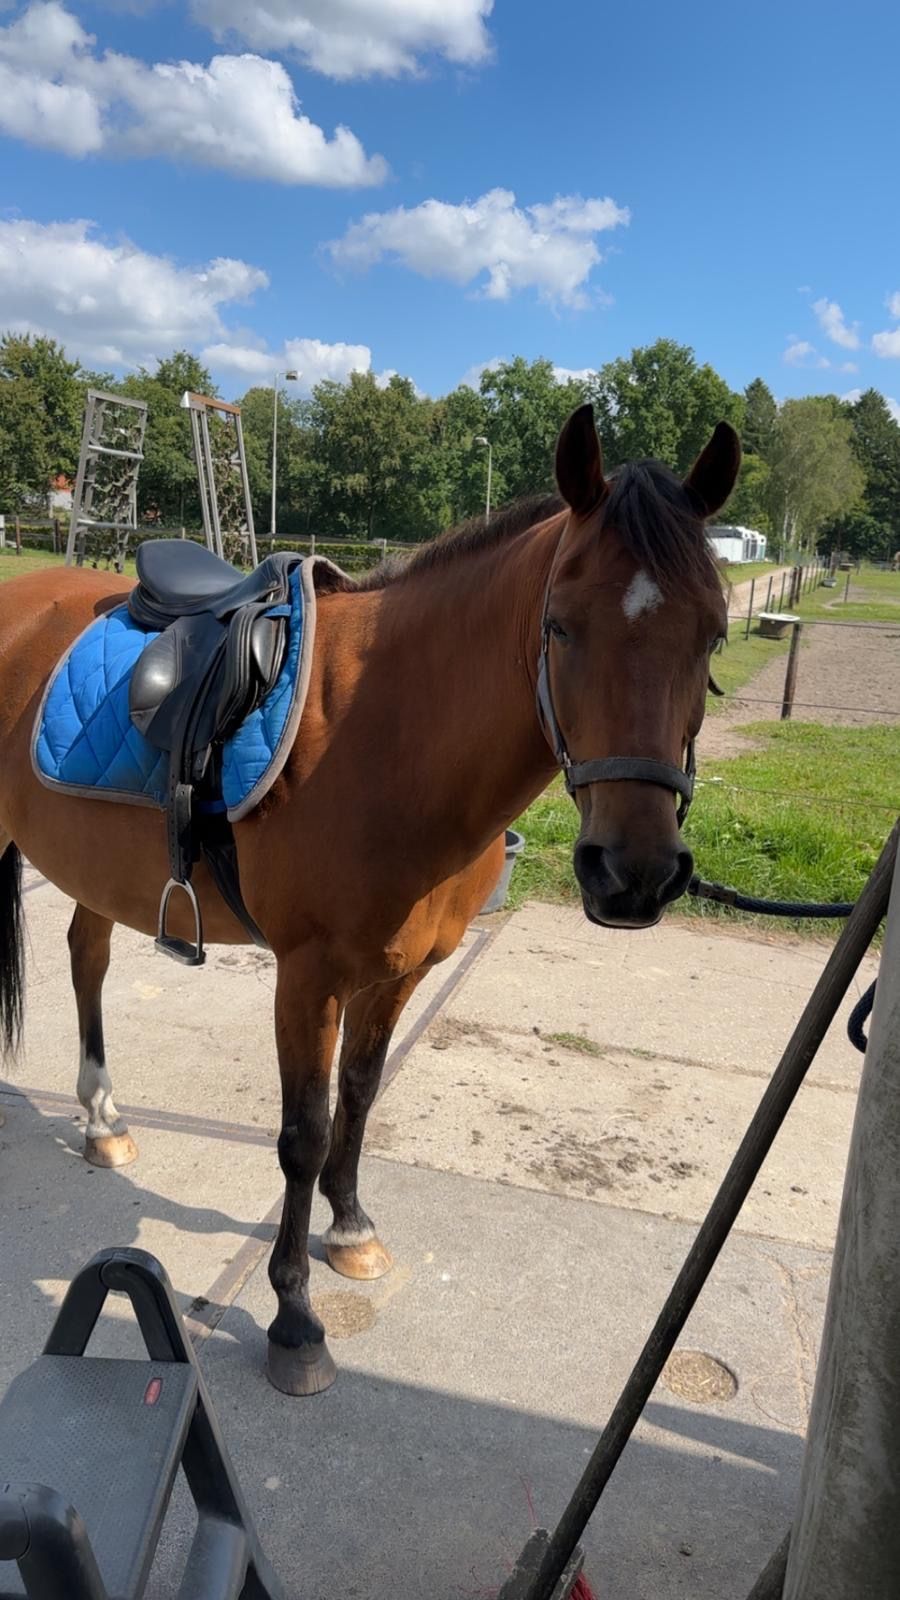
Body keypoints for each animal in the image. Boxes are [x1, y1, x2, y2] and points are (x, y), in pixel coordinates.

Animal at [0, 405, 738, 1395]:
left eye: (714, 635)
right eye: (560, 626)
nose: (635, 873)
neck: (388, 737)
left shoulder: (399, 972)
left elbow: (359, 1097)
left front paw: (350, 1229)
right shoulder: (306, 977)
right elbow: (303, 1134)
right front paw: (294, 1318)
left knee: (88, 956)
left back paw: (103, 1120)